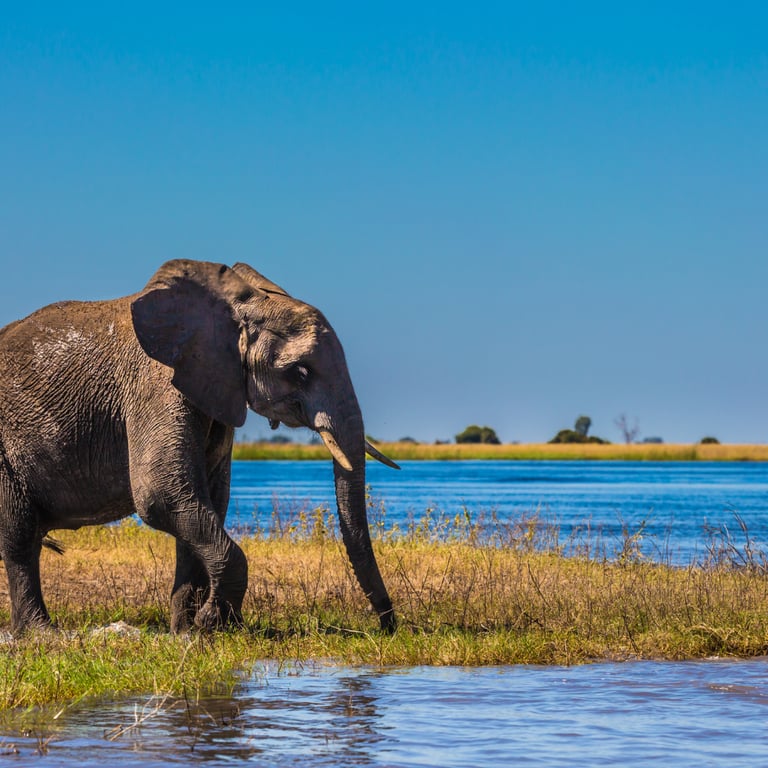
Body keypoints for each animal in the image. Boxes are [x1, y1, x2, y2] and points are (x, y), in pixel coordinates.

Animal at [0, 259, 398, 635]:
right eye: (301, 371)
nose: (388, 626)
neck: (235, 306)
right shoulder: (154, 385)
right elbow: (162, 496)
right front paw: (212, 623)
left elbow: (205, 501)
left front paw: (187, 632)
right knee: (19, 535)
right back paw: (40, 634)